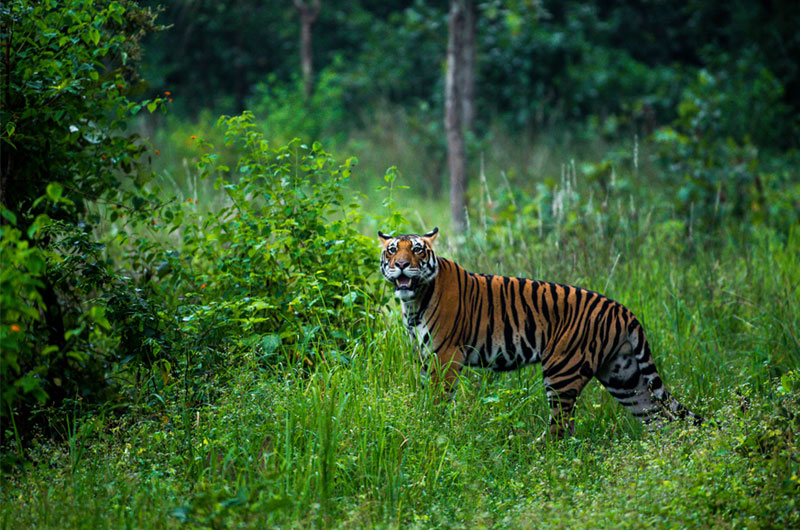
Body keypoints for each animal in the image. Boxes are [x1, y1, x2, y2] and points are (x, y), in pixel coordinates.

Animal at [380, 227, 700, 438]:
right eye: (392, 250)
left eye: (417, 250)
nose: (402, 266)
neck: (414, 301)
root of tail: (622, 310)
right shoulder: (425, 356)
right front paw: (422, 422)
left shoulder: (445, 356)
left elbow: (437, 399)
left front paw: (432, 429)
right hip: (623, 375)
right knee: (656, 416)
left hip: (562, 371)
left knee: (562, 429)